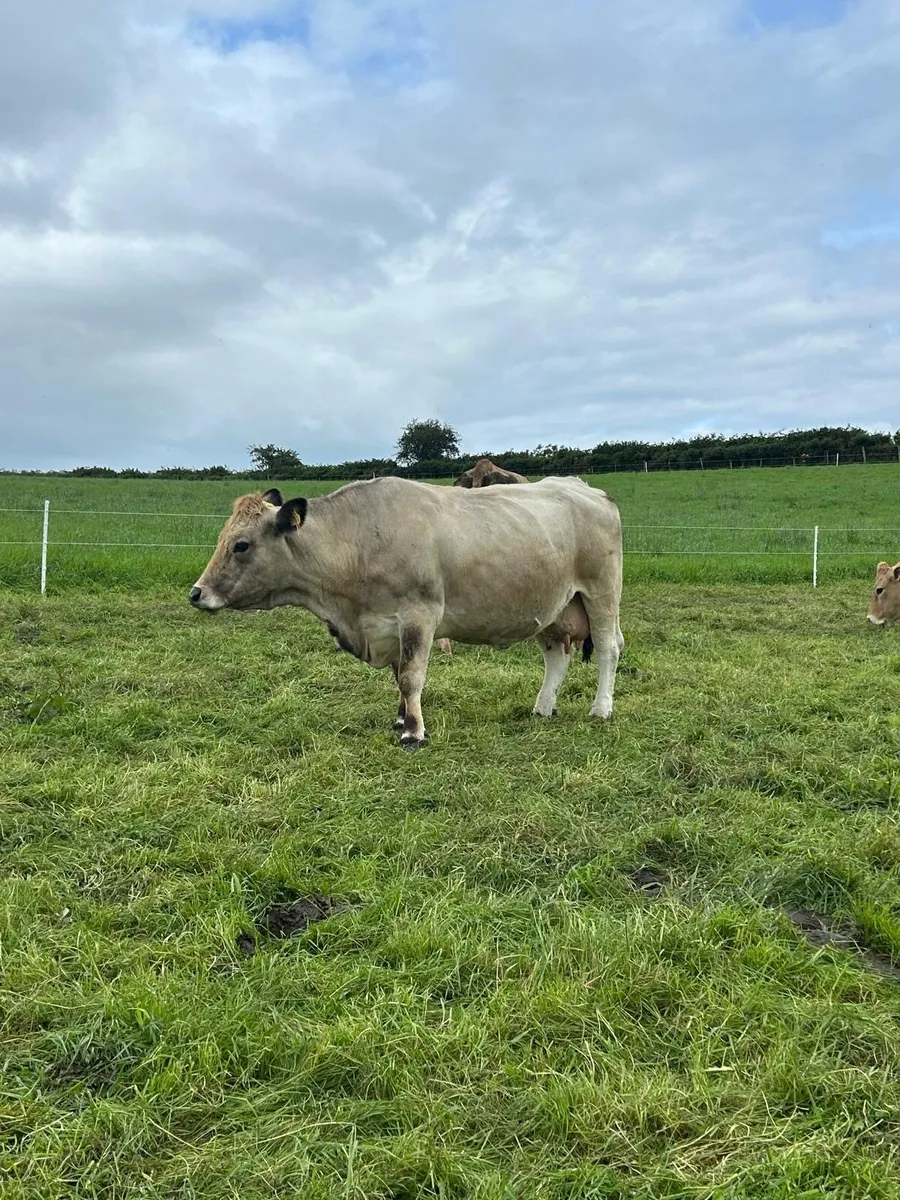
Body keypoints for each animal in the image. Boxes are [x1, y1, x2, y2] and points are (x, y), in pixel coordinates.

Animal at [188, 477, 624, 749]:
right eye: (224, 538)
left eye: (241, 545)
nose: (196, 593)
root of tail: (586, 488)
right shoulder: (387, 624)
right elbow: (398, 676)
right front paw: (401, 718)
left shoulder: (419, 615)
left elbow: (411, 676)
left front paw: (413, 732)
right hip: (552, 606)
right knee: (556, 656)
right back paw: (543, 706)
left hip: (602, 594)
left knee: (608, 649)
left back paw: (601, 709)